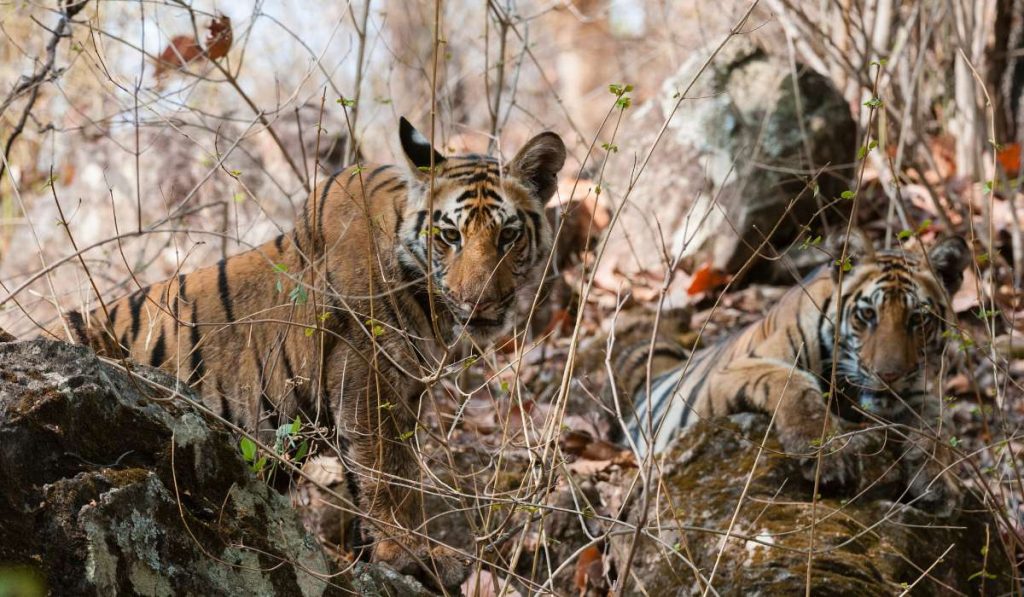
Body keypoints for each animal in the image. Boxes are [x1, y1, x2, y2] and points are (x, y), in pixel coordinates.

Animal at [48, 117, 567, 590]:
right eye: (450, 236)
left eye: (508, 236)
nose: (480, 302)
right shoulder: (367, 377)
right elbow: (390, 476)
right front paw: (411, 556)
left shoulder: (403, 389)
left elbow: (393, 478)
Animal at [612, 231, 971, 505]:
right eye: (867, 315)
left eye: (918, 320)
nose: (889, 375)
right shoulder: (732, 371)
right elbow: (791, 382)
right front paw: (826, 456)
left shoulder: (913, 391)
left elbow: (939, 421)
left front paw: (939, 481)